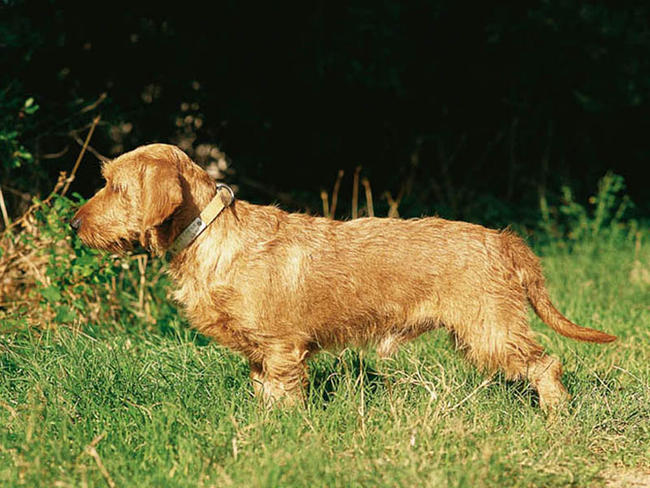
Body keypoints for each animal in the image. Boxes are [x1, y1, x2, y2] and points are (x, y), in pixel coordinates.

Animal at [71, 143, 612, 410]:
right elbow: (262, 394)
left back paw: (555, 415)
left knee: (548, 364)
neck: (212, 237)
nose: (73, 224)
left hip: (493, 331)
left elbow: (285, 398)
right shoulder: (259, 356)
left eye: (114, 186)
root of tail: (500, 239)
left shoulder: (282, 350)